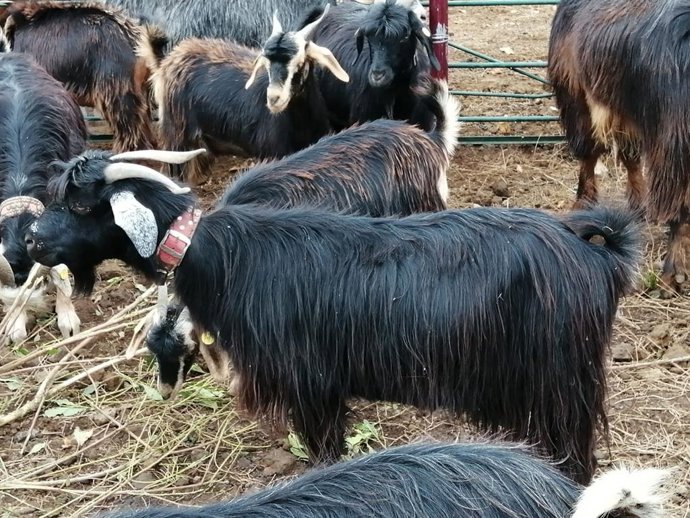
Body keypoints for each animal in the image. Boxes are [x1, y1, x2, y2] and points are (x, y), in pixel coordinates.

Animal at [26, 148, 641, 484]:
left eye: (80, 205)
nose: (31, 239)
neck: (221, 256)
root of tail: (597, 254)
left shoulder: (312, 385)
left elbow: (324, 454)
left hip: (562, 386)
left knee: (578, 459)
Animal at [548, 0, 690, 291]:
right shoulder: (674, 147)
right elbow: (681, 208)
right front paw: (674, 274)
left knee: (630, 157)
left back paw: (640, 206)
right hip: (577, 98)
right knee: (589, 155)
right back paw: (585, 204)